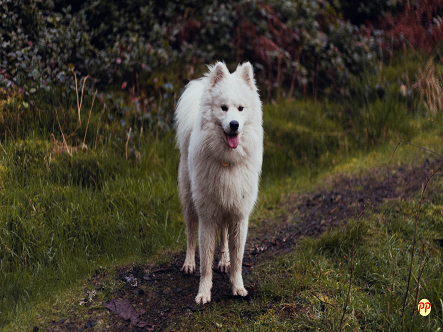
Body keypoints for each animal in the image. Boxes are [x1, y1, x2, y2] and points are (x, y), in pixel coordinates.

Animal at [173, 61, 264, 304]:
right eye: (223, 108)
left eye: (240, 108)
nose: (234, 124)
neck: (227, 161)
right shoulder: (207, 216)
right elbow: (205, 262)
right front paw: (203, 293)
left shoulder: (239, 215)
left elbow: (238, 258)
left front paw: (237, 286)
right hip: (189, 201)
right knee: (190, 234)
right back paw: (188, 263)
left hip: (225, 210)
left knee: (223, 236)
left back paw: (224, 260)